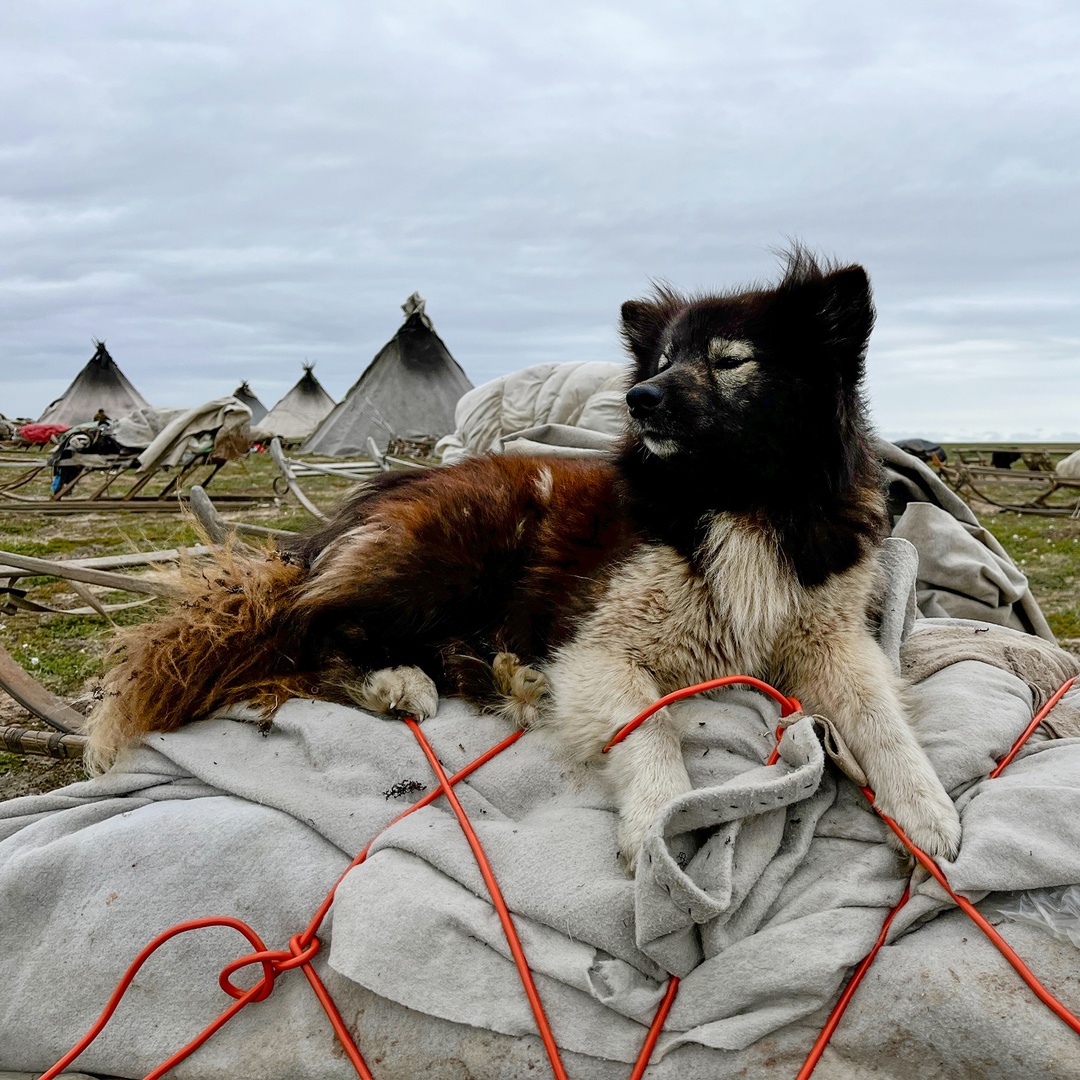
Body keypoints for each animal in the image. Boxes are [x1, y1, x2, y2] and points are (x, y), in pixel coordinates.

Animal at [86, 250, 963, 868]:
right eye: (659, 363)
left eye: (728, 359)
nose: (640, 400)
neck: (737, 499)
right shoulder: (603, 643)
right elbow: (652, 731)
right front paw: (658, 828)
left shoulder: (830, 639)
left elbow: (881, 720)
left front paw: (927, 811)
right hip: (456, 548)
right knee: (315, 629)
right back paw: (400, 680)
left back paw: (505, 675)